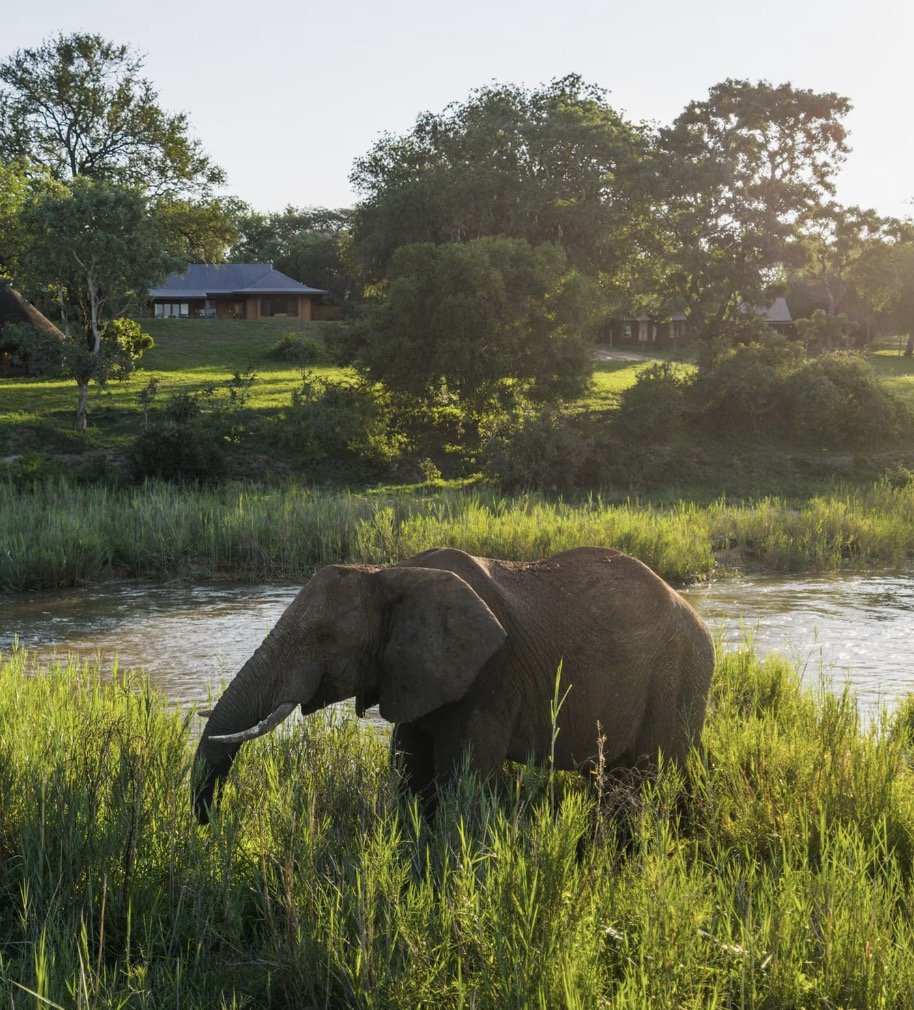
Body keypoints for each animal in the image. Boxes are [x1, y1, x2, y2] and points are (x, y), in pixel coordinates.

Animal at [192, 546, 714, 823]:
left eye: (324, 638)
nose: (213, 822)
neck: (390, 572)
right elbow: (408, 770)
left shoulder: (489, 676)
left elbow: (463, 778)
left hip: (677, 676)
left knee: (651, 775)